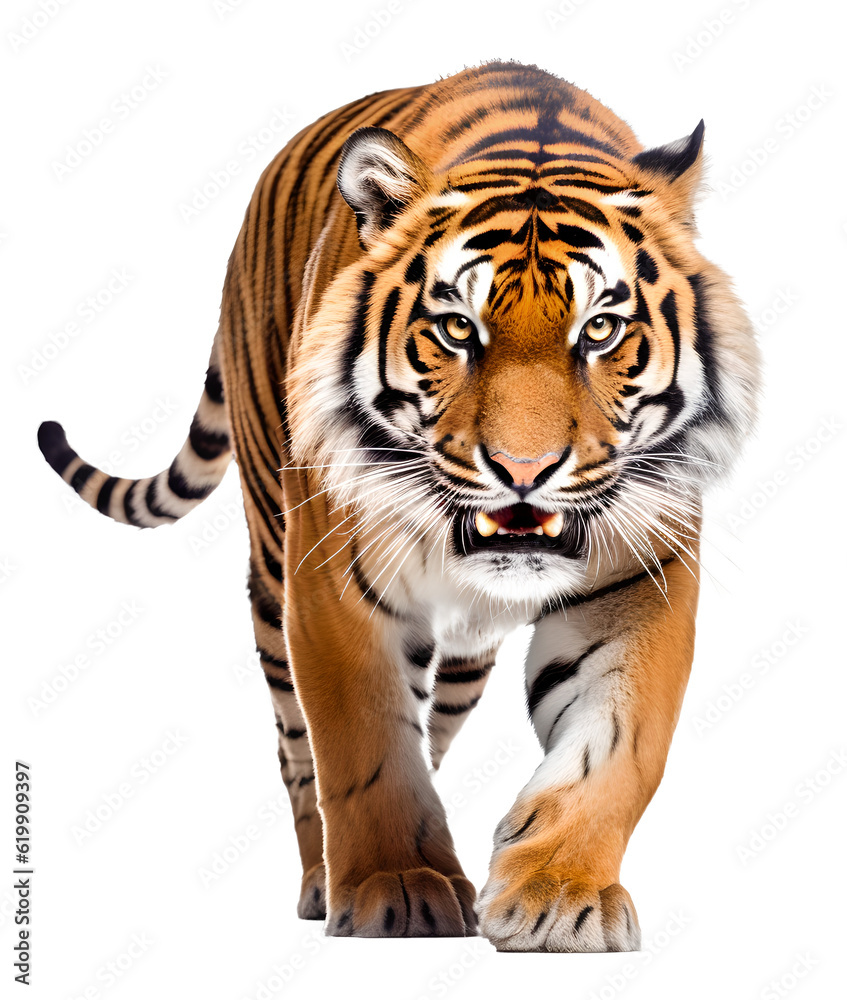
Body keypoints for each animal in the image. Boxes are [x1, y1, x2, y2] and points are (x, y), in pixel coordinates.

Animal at [38, 60, 761, 951]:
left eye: (598, 331)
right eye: (456, 329)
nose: (524, 470)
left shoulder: (640, 581)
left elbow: (618, 751)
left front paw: (560, 895)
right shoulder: (332, 586)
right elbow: (364, 744)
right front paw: (396, 886)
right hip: (273, 569)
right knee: (298, 748)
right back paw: (325, 880)